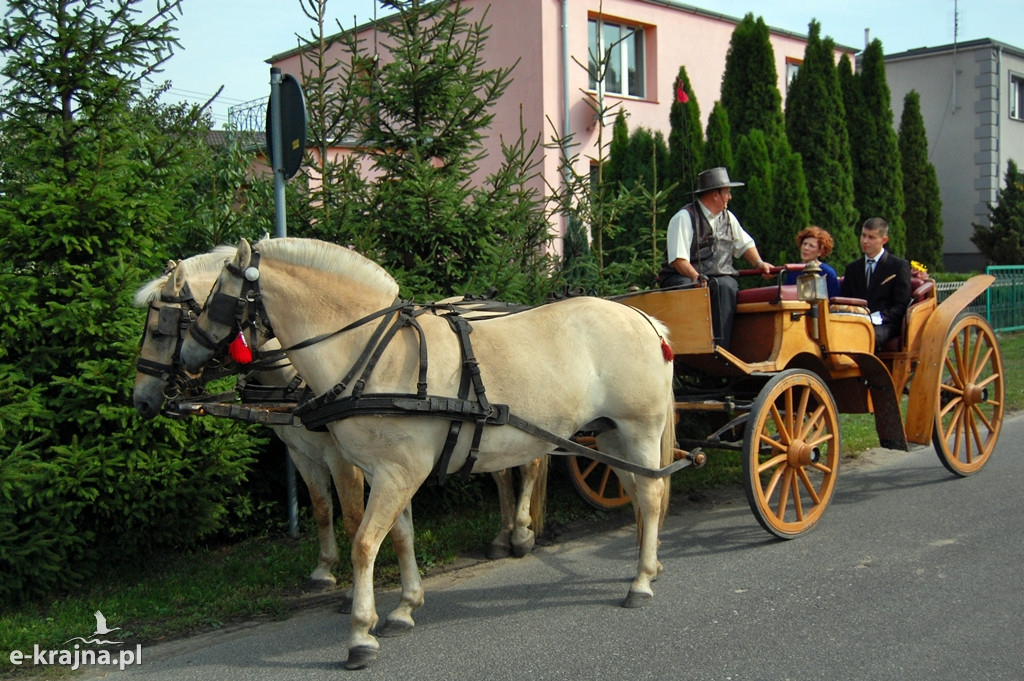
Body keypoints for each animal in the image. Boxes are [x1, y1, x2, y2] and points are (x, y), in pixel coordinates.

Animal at [180, 236, 679, 667]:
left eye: (216, 295)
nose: (187, 356)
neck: (368, 353)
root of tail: (644, 319)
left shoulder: (398, 472)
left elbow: (365, 543)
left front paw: (361, 634)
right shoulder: (387, 472)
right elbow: (399, 537)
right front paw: (404, 607)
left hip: (637, 429)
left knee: (651, 496)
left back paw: (639, 582)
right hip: (611, 436)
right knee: (639, 493)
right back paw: (648, 563)